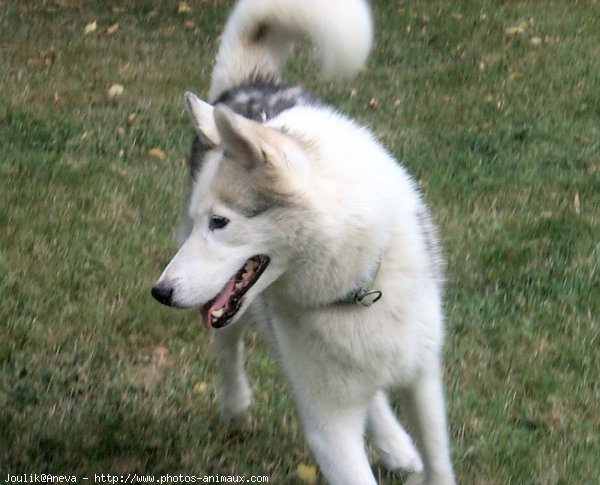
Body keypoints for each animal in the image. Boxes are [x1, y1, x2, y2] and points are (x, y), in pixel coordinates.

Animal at [152, 1, 458, 482]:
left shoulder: (422, 378)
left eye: (220, 222)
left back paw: (395, 446)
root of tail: (248, 86)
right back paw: (235, 405)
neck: (352, 290)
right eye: (204, 219)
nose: (160, 292)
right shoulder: (327, 426)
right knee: (227, 344)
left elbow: (439, 461)